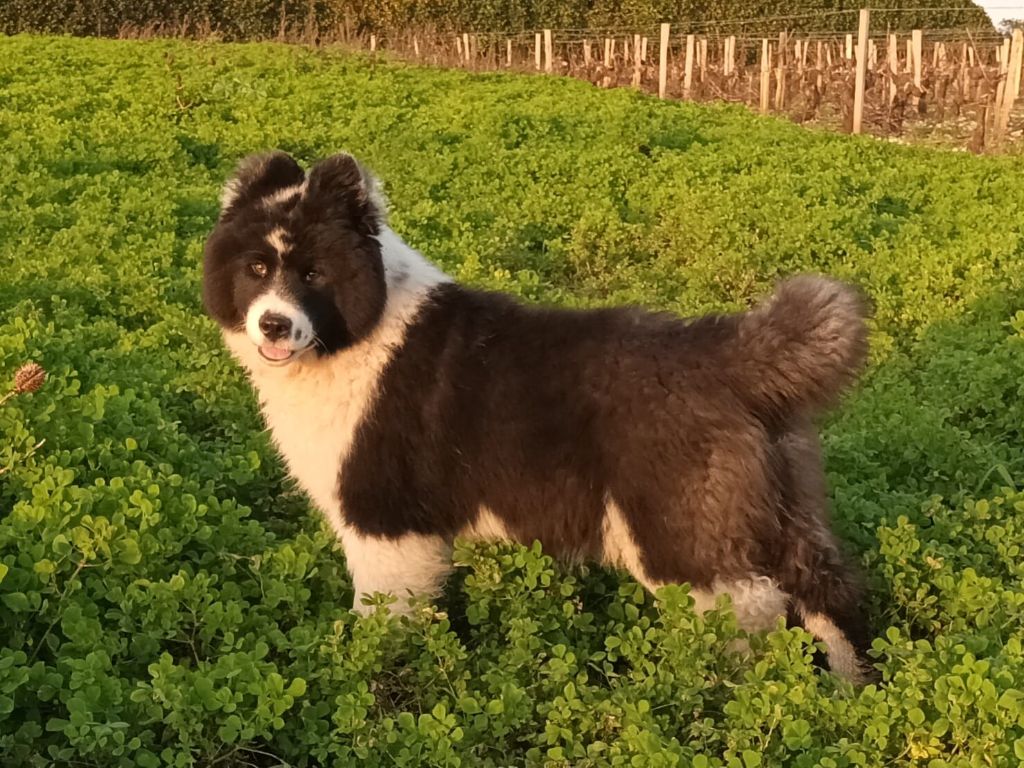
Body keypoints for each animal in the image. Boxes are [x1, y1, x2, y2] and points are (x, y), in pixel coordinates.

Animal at [203, 153, 876, 684]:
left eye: (313, 272)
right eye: (256, 269)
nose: (273, 325)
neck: (359, 335)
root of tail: (735, 357)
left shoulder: (383, 522)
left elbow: (382, 617)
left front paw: (363, 672)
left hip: (681, 535)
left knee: (751, 611)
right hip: (785, 512)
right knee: (829, 595)